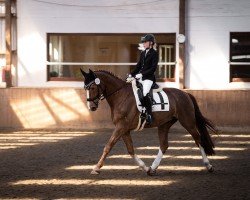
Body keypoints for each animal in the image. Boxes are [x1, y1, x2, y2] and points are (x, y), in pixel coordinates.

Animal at [80, 69, 217, 175]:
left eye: (93, 87)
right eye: (85, 88)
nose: (91, 107)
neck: (120, 96)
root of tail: (186, 93)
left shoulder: (121, 127)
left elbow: (108, 146)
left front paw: (96, 168)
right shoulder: (124, 129)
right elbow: (130, 150)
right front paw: (145, 167)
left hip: (187, 121)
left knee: (198, 139)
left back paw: (208, 165)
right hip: (164, 124)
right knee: (164, 145)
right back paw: (152, 168)